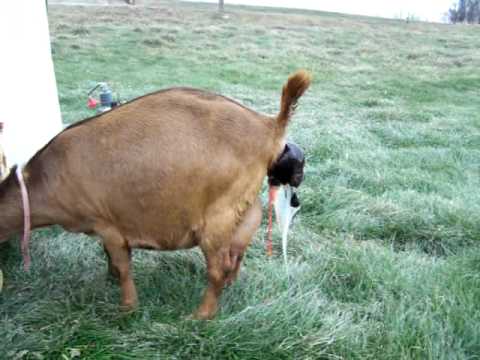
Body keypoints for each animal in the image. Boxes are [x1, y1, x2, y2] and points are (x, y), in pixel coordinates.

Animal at [0, 69, 312, 318]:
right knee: (236, 254)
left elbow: (123, 266)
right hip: (246, 213)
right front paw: (109, 279)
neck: (45, 179)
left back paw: (201, 316)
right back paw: (229, 289)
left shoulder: (107, 224)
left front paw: (128, 308)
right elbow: (111, 258)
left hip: (217, 220)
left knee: (218, 268)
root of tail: (269, 126)